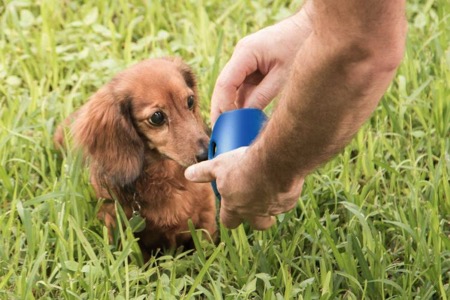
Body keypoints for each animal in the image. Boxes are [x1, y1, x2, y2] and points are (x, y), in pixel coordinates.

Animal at [54, 58, 216, 258]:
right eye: (157, 117)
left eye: (190, 100)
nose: (207, 154)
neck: (166, 178)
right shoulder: (117, 226)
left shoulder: (207, 214)